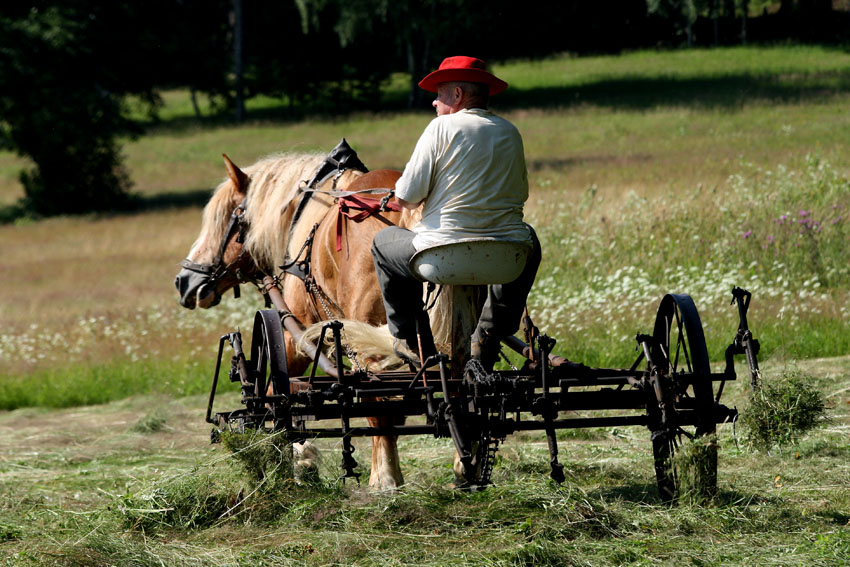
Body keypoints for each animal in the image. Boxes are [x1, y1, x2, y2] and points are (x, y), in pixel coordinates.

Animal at [173, 152, 440, 492]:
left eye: (223, 221)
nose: (183, 281)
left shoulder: (296, 337)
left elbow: (277, 394)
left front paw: (298, 459)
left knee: (378, 406)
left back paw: (385, 478)